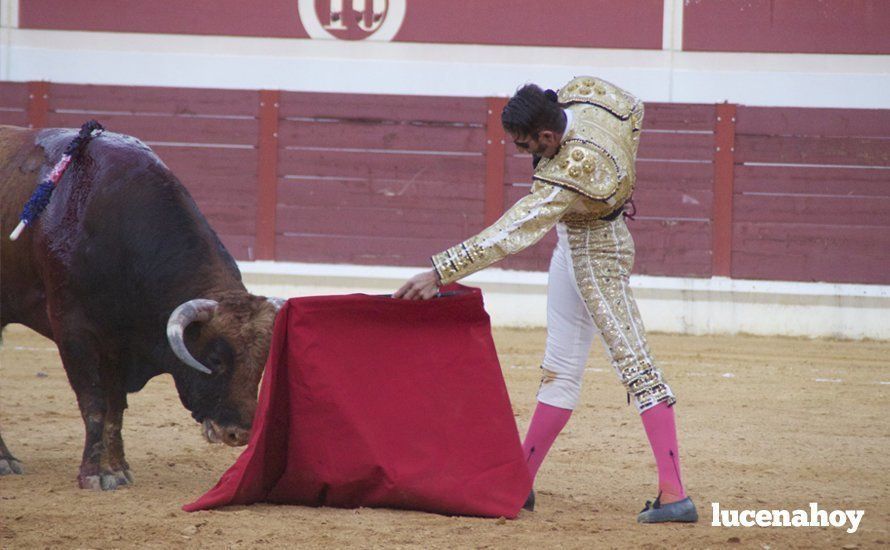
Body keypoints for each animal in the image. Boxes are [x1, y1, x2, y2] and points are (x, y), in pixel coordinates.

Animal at [0, 126, 278, 492]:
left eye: (261, 363)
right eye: (215, 360)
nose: (239, 433)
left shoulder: (119, 342)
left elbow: (116, 408)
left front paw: (117, 469)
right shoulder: (73, 332)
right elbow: (94, 402)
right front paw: (93, 474)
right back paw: (5, 460)